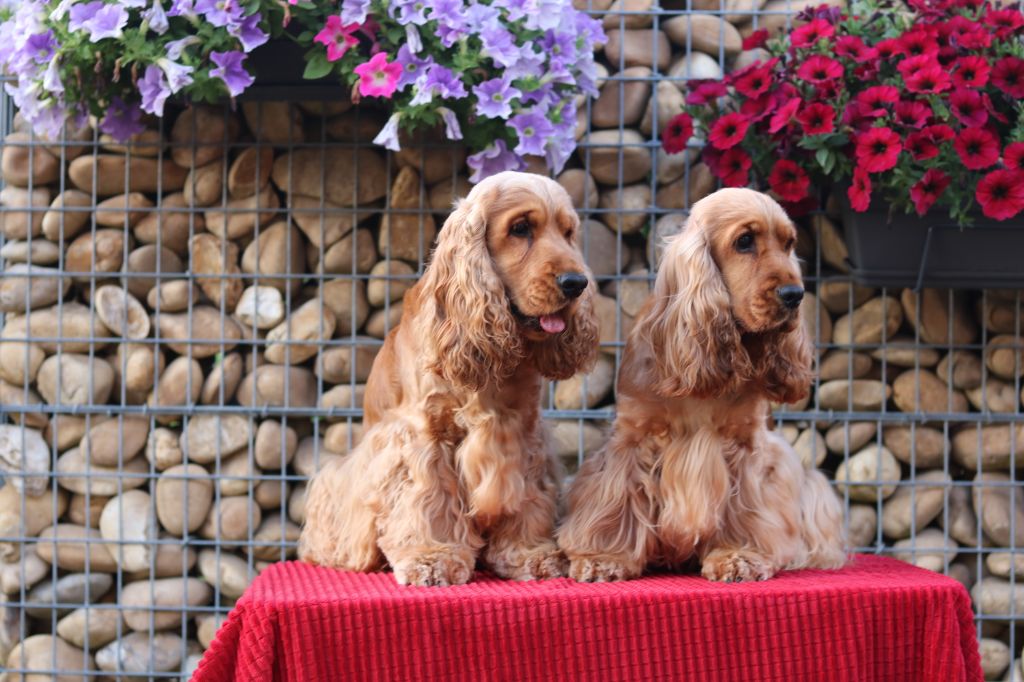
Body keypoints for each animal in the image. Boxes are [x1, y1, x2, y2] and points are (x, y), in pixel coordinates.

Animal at [299, 169, 598, 585]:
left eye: (568, 232)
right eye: (520, 228)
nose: (576, 283)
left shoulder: (522, 433)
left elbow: (526, 497)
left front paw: (528, 553)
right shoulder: (422, 436)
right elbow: (428, 498)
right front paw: (432, 557)